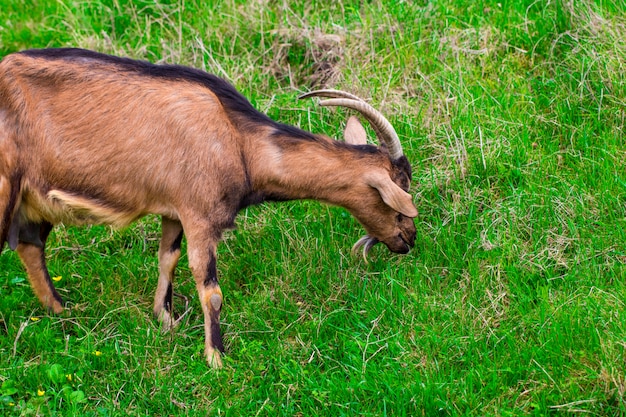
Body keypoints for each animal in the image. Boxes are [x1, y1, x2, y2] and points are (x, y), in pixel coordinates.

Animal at [1, 49, 420, 368]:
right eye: (397, 190)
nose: (409, 239)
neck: (238, 139)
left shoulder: (175, 210)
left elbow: (166, 259)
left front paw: (165, 322)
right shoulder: (201, 215)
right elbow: (211, 290)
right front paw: (216, 357)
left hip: (33, 201)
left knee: (31, 246)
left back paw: (62, 314)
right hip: (7, 186)